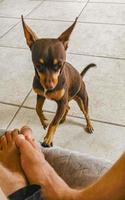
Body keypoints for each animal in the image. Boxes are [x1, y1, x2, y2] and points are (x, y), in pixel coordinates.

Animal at [21, 16, 95, 147]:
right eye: (38, 65)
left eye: (60, 65)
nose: (49, 87)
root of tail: (80, 77)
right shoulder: (41, 96)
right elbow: (37, 109)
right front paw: (44, 121)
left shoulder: (61, 102)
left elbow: (53, 123)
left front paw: (48, 138)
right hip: (68, 100)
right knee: (68, 108)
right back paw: (63, 118)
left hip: (82, 99)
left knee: (86, 113)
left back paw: (89, 125)